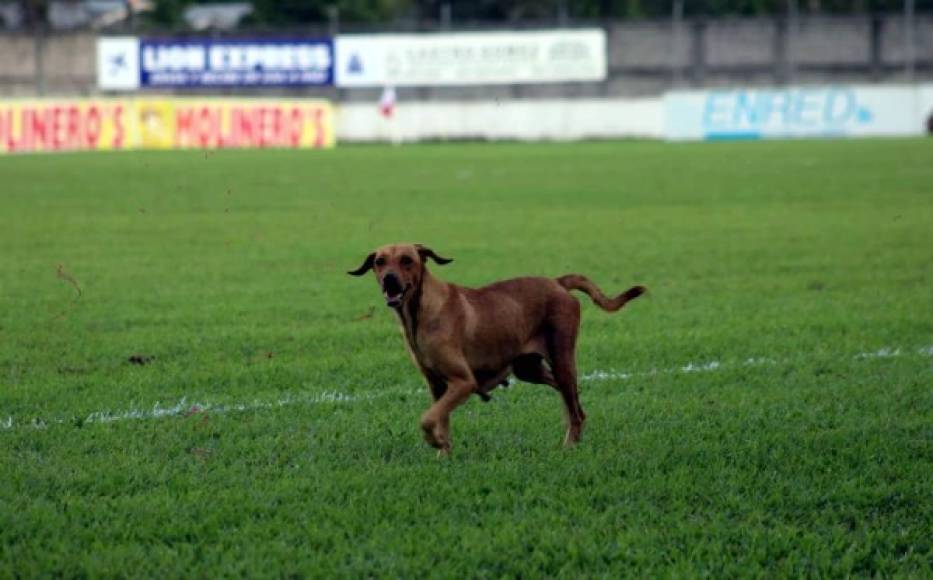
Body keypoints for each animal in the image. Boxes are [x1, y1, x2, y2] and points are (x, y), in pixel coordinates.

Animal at [346, 242, 644, 456]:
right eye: (379, 262)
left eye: (407, 259)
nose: (389, 279)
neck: (418, 313)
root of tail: (558, 282)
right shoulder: (437, 387)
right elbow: (441, 419)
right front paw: (444, 453)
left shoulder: (462, 382)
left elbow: (427, 420)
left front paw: (435, 442)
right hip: (529, 369)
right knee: (573, 403)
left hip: (561, 359)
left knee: (574, 407)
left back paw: (569, 446)